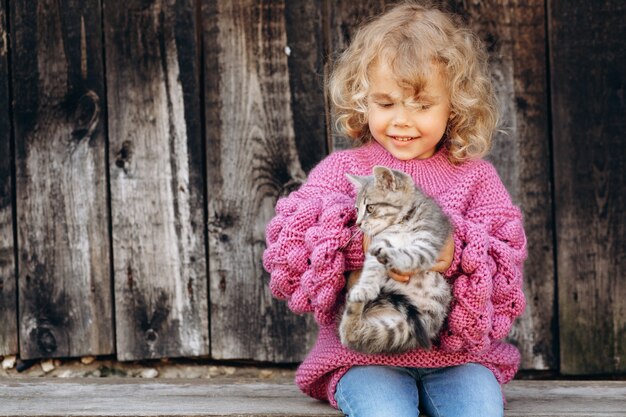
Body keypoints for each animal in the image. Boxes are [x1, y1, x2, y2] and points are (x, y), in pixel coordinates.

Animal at [338, 164, 450, 352]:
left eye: (370, 208)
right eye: (356, 210)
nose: (358, 224)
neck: (402, 221)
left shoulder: (427, 241)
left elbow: (410, 255)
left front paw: (389, 255)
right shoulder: (383, 239)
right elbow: (371, 268)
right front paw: (366, 287)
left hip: (407, 328)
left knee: (353, 333)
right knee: (351, 333)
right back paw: (356, 296)